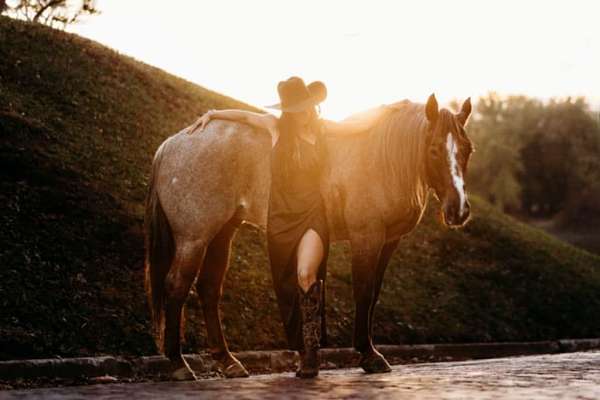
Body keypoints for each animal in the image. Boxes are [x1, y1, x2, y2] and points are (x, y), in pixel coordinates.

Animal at [144, 95, 474, 380]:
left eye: (467, 149)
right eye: (434, 149)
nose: (458, 210)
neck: (383, 159)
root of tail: (171, 145)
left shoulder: (389, 242)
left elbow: (374, 294)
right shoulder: (366, 236)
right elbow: (364, 292)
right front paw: (368, 355)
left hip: (222, 233)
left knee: (209, 289)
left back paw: (228, 362)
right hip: (194, 237)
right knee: (176, 286)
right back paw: (179, 364)